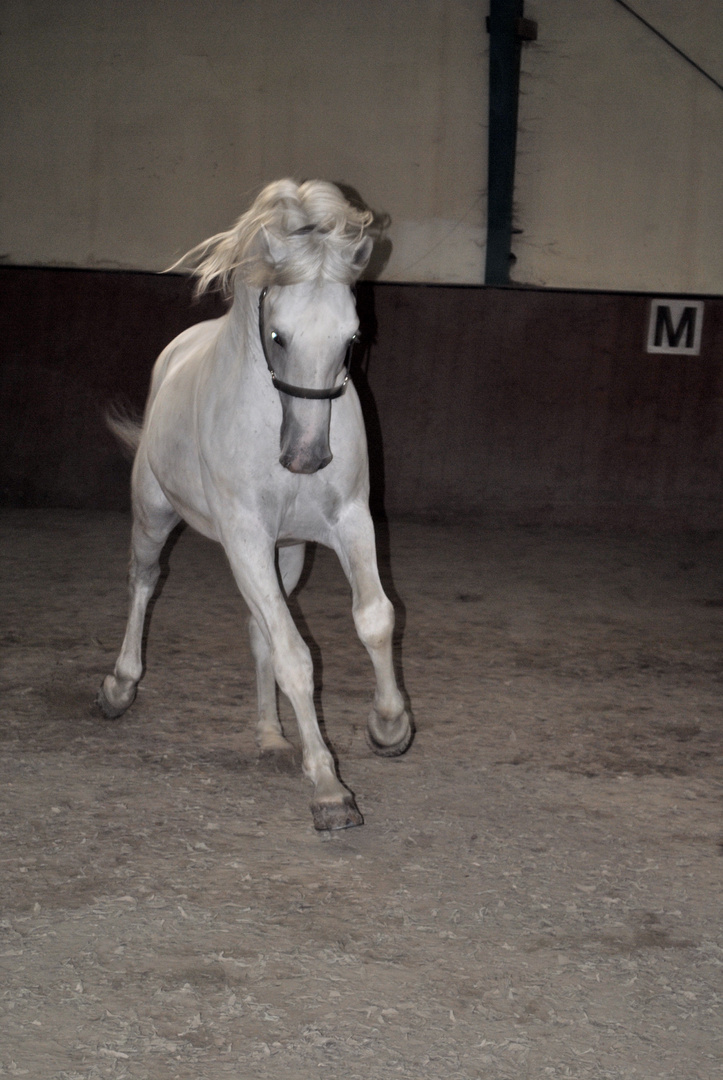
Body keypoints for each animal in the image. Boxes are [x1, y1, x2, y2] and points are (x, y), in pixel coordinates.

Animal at [98, 181, 410, 829]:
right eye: (277, 336)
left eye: (352, 339)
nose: (308, 457)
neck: (275, 420)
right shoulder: (244, 538)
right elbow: (296, 656)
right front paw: (329, 788)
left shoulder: (349, 522)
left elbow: (374, 618)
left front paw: (389, 726)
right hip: (155, 518)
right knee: (143, 581)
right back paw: (119, 687)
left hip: (285, 553)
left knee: (258, 626)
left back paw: (271, 737)